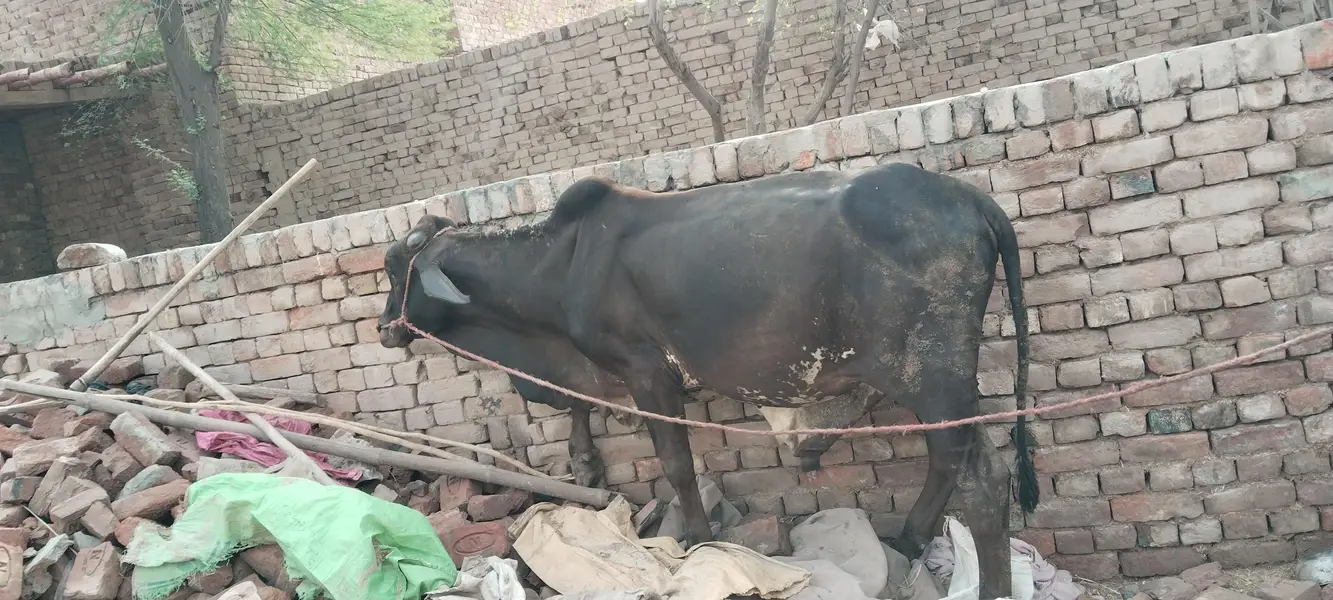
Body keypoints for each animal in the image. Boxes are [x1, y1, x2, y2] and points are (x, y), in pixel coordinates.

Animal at [377, 161, 1036, 600]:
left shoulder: (648, 373)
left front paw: (696, 538)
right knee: (961, 465)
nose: (384, 328)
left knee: (980, 481)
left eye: (393, 268)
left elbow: (676, 464)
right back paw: (909, 538)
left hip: (934, 376)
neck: (561, 263)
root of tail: (969, 197)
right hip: (943, 388)